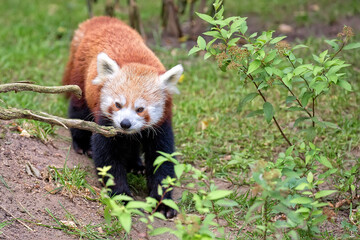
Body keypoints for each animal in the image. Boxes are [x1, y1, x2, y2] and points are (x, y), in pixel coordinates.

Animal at [62, 16, 183, 219]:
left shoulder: (161, 125)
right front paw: (123, 197)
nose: (125, 123)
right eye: (118, 104)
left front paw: (163, 202)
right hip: (81, 76)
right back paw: (83, 144)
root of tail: (102, 21)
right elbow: (108, 160)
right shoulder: (106, 123)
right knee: (78, 110)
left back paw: (136, 164)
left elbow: (161, 160)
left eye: (140, 109)